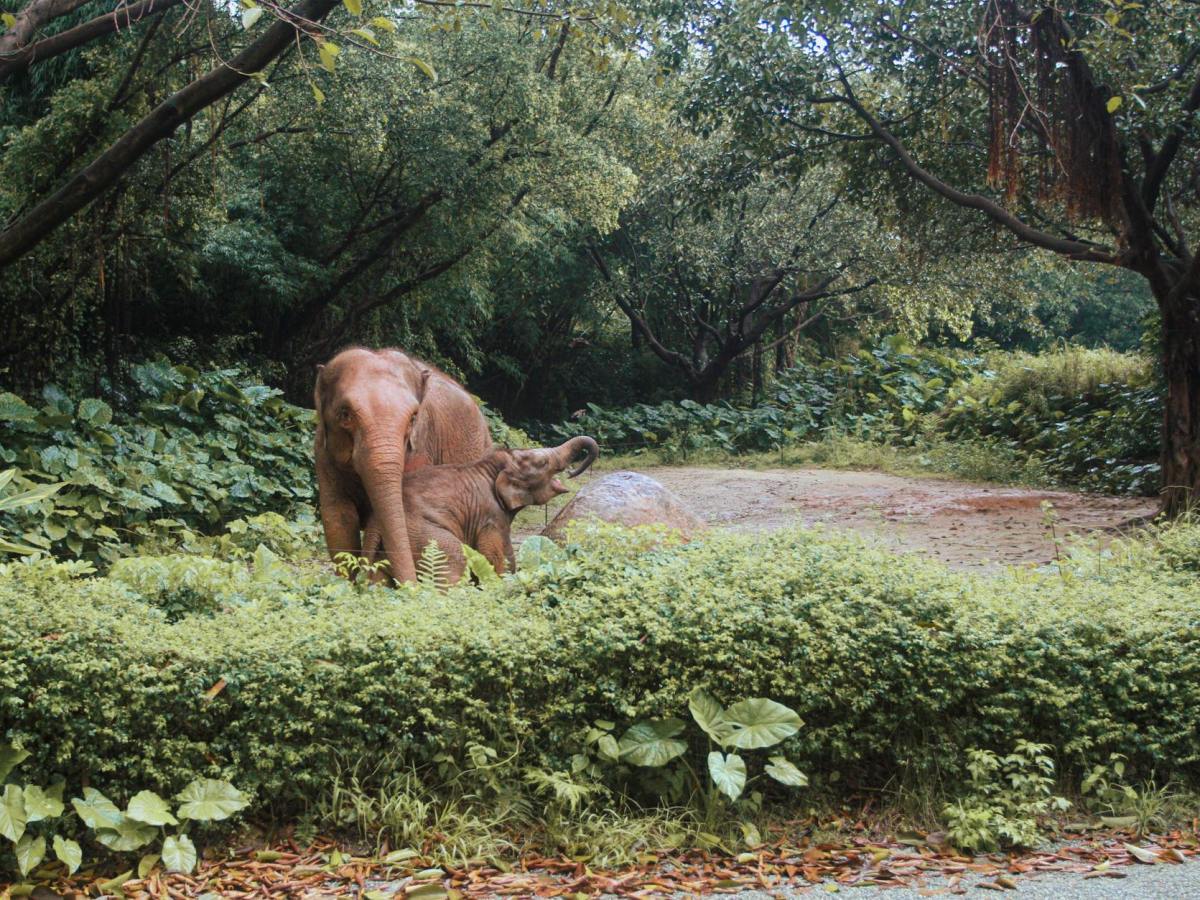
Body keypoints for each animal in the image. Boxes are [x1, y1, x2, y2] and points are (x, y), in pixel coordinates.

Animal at [364, 436, 599, 584]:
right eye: (542, 463)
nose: (571, 472)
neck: (491, 467)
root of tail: (375, 522)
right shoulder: (490, 515)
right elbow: (497, 555)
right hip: (423, 534)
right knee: (454, 563)